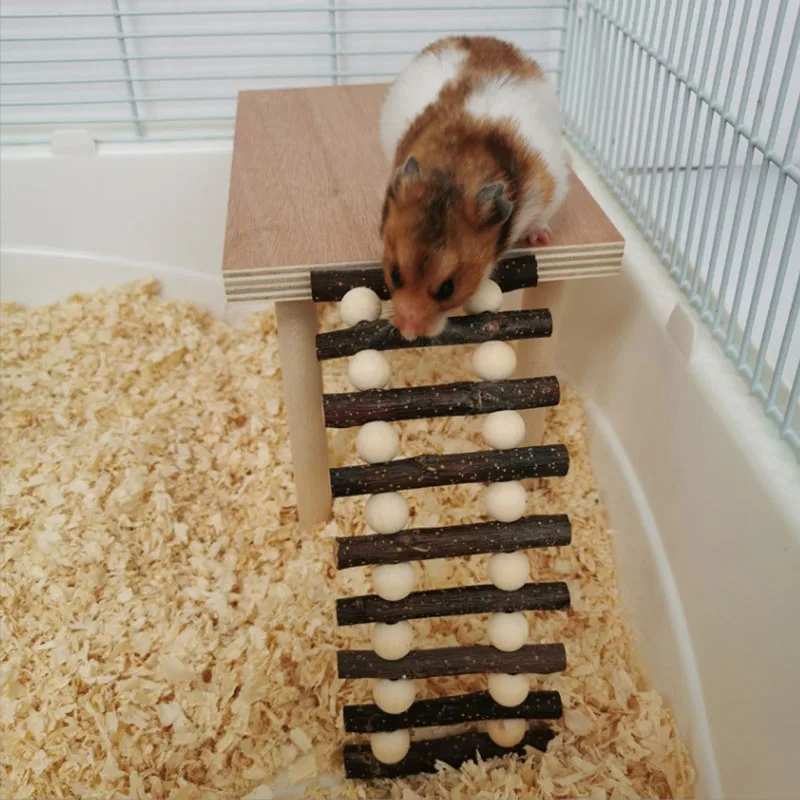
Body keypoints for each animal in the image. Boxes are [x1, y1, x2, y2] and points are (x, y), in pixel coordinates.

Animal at [379, 36, 569, 341]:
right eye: (395, 274)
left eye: (448, 288)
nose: (408, 335)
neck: (455, 169)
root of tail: (484, 38)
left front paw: (540, 238)